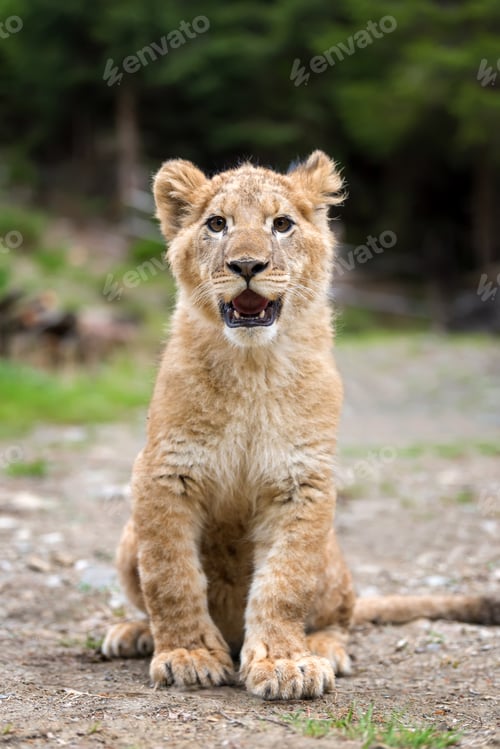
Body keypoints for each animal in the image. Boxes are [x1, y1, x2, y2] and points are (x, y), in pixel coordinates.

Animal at [102, 152, 499, 700]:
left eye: (282, 224)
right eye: (217, 224)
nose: (247, 266)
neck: (252, 366)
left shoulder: (303, 481)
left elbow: (284, 583)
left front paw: (286, 662)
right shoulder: (164, 472)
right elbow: (171, 575)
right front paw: (188, 654)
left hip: (331, 555)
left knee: (342, 615)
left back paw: (325, 648)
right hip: (127, 538)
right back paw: (135, 632)